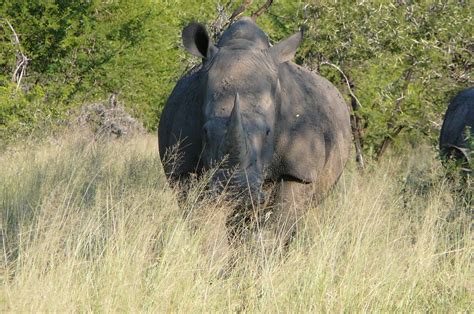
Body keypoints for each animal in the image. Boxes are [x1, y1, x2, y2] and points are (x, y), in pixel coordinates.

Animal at [159, 16, 352, 243]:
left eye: (268, 132)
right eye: (205, 132)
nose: (235, 192)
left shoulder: (299, 171)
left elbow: (279, 225)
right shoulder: (182, 166)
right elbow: (201, 223)